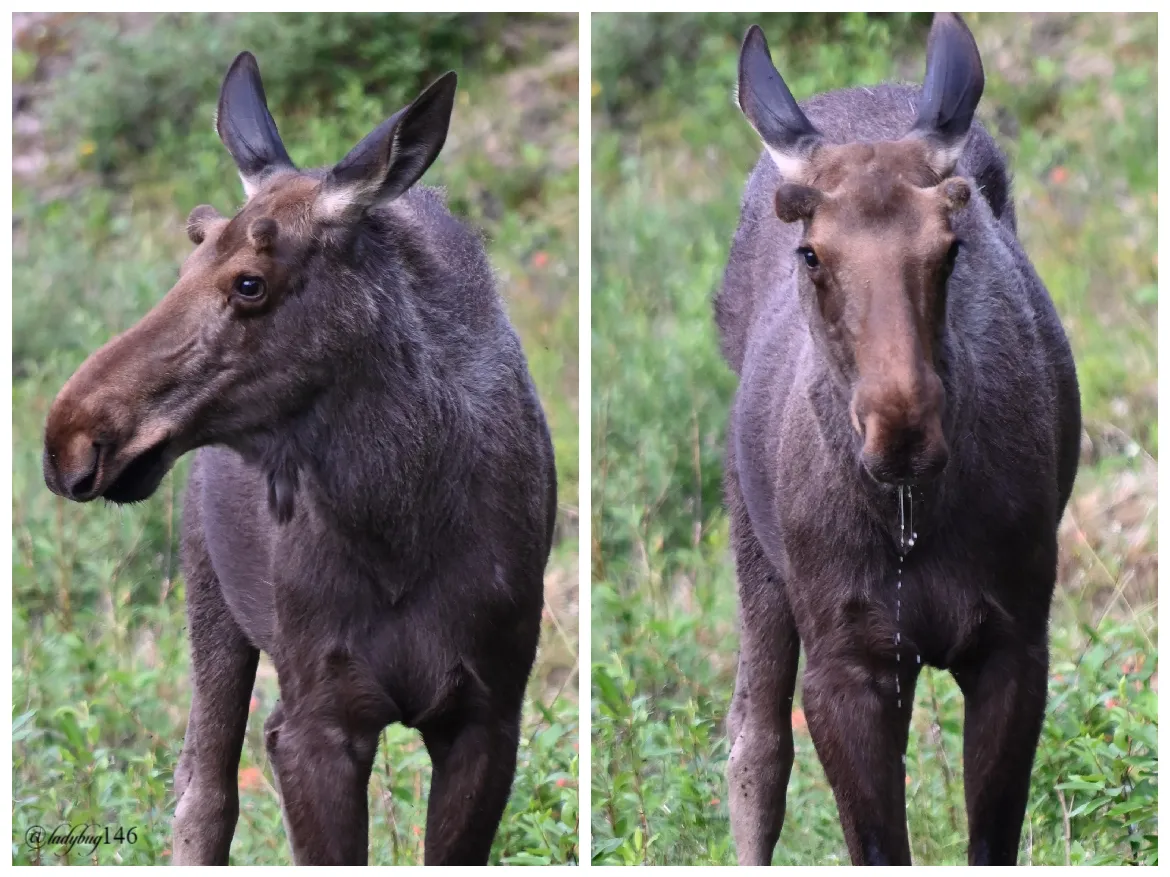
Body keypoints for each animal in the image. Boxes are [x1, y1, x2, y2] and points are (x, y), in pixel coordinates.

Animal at [42, 53, 556, 865]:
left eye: (250, 281)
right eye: (187, 260)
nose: (70, 438)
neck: (401, 523)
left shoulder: (487, 712)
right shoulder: (316, 717)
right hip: (211, 595)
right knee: (203, 793)